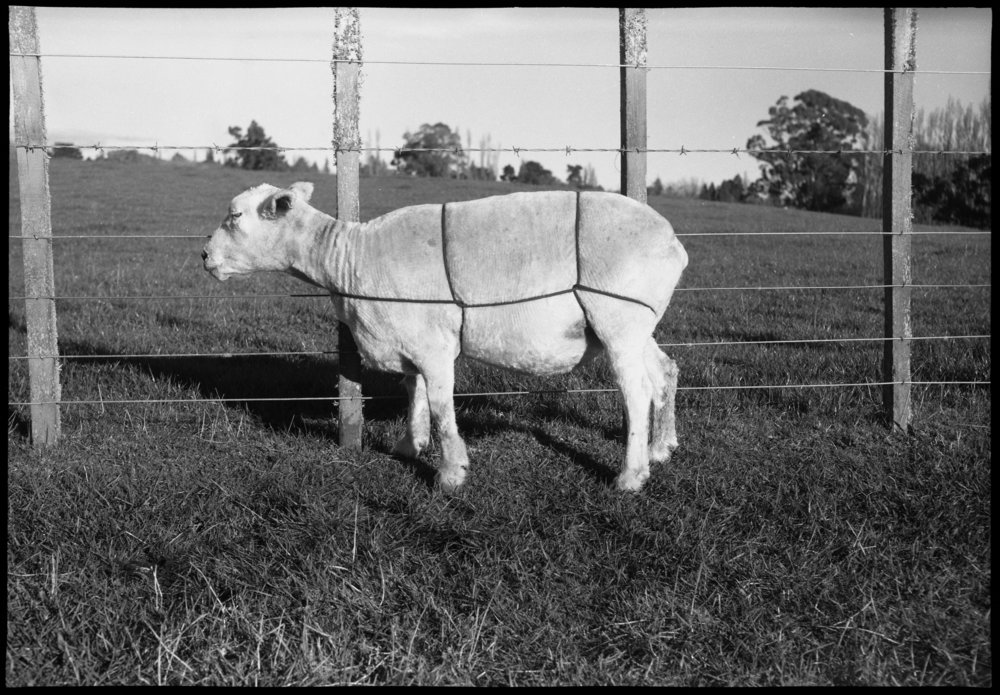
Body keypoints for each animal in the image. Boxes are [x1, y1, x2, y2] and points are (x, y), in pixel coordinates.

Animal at [202, 181, 688, 492]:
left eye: (236, 216)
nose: (204, 255)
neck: (348, 258)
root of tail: (672, 242)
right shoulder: (410, 342)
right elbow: (413, 393)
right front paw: (408, 446)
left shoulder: (434, 347)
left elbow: (439, 407)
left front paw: (451, 473)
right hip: (635, 326)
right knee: (664, 373)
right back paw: (661, 448)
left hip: (618, 319)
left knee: (636, 392)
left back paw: (630, 476)